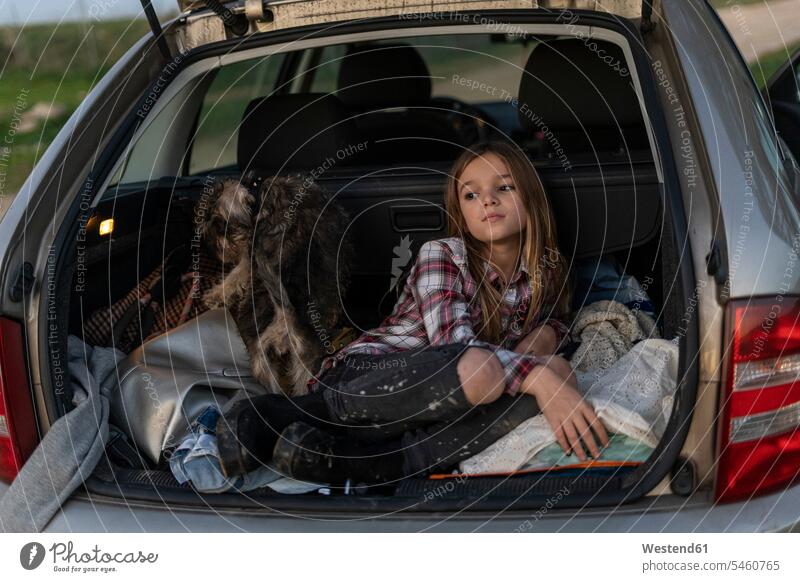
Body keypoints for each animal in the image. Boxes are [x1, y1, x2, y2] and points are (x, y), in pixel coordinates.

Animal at [200, 176, 354, 396]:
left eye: (218, 224)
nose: (212, 250)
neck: (259, 194)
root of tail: (286, 319)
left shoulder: (249, 257)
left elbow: (236, 273)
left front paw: (215, 295)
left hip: (265, 360)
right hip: (300, 363)